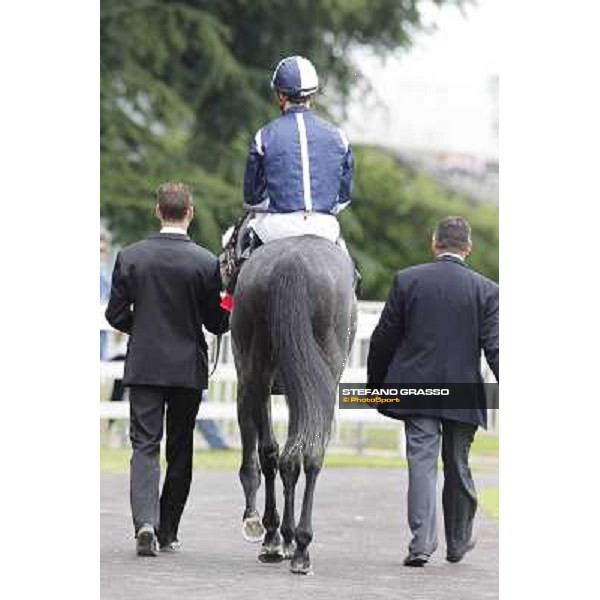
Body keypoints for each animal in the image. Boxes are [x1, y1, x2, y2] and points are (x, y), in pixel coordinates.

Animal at [231, 232, 356, 576]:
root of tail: (294, 260)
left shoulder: (252, 386)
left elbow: (269, 456)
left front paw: (274, 534)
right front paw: (284, 537)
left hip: (259, 375)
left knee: (277, 455)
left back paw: (284, 540)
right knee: (310, 455)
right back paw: (300, 546)